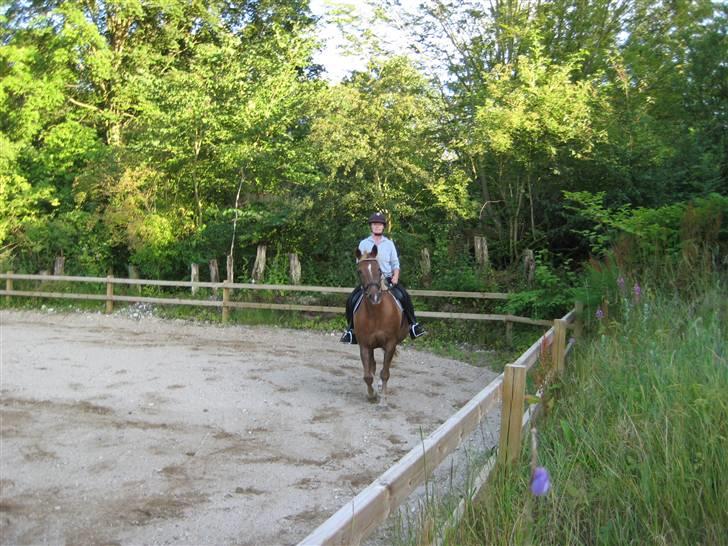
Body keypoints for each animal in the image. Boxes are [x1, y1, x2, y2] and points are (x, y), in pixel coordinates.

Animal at [354, 244, 410, 402]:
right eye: (360, 271)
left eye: (379, 269)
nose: (374, 297)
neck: (376, 313)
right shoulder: (364, 345)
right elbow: (368, 375)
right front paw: (371, 394)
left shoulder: (391, 343)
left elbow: (385, 372)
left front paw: (383, 395)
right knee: (373, 366)